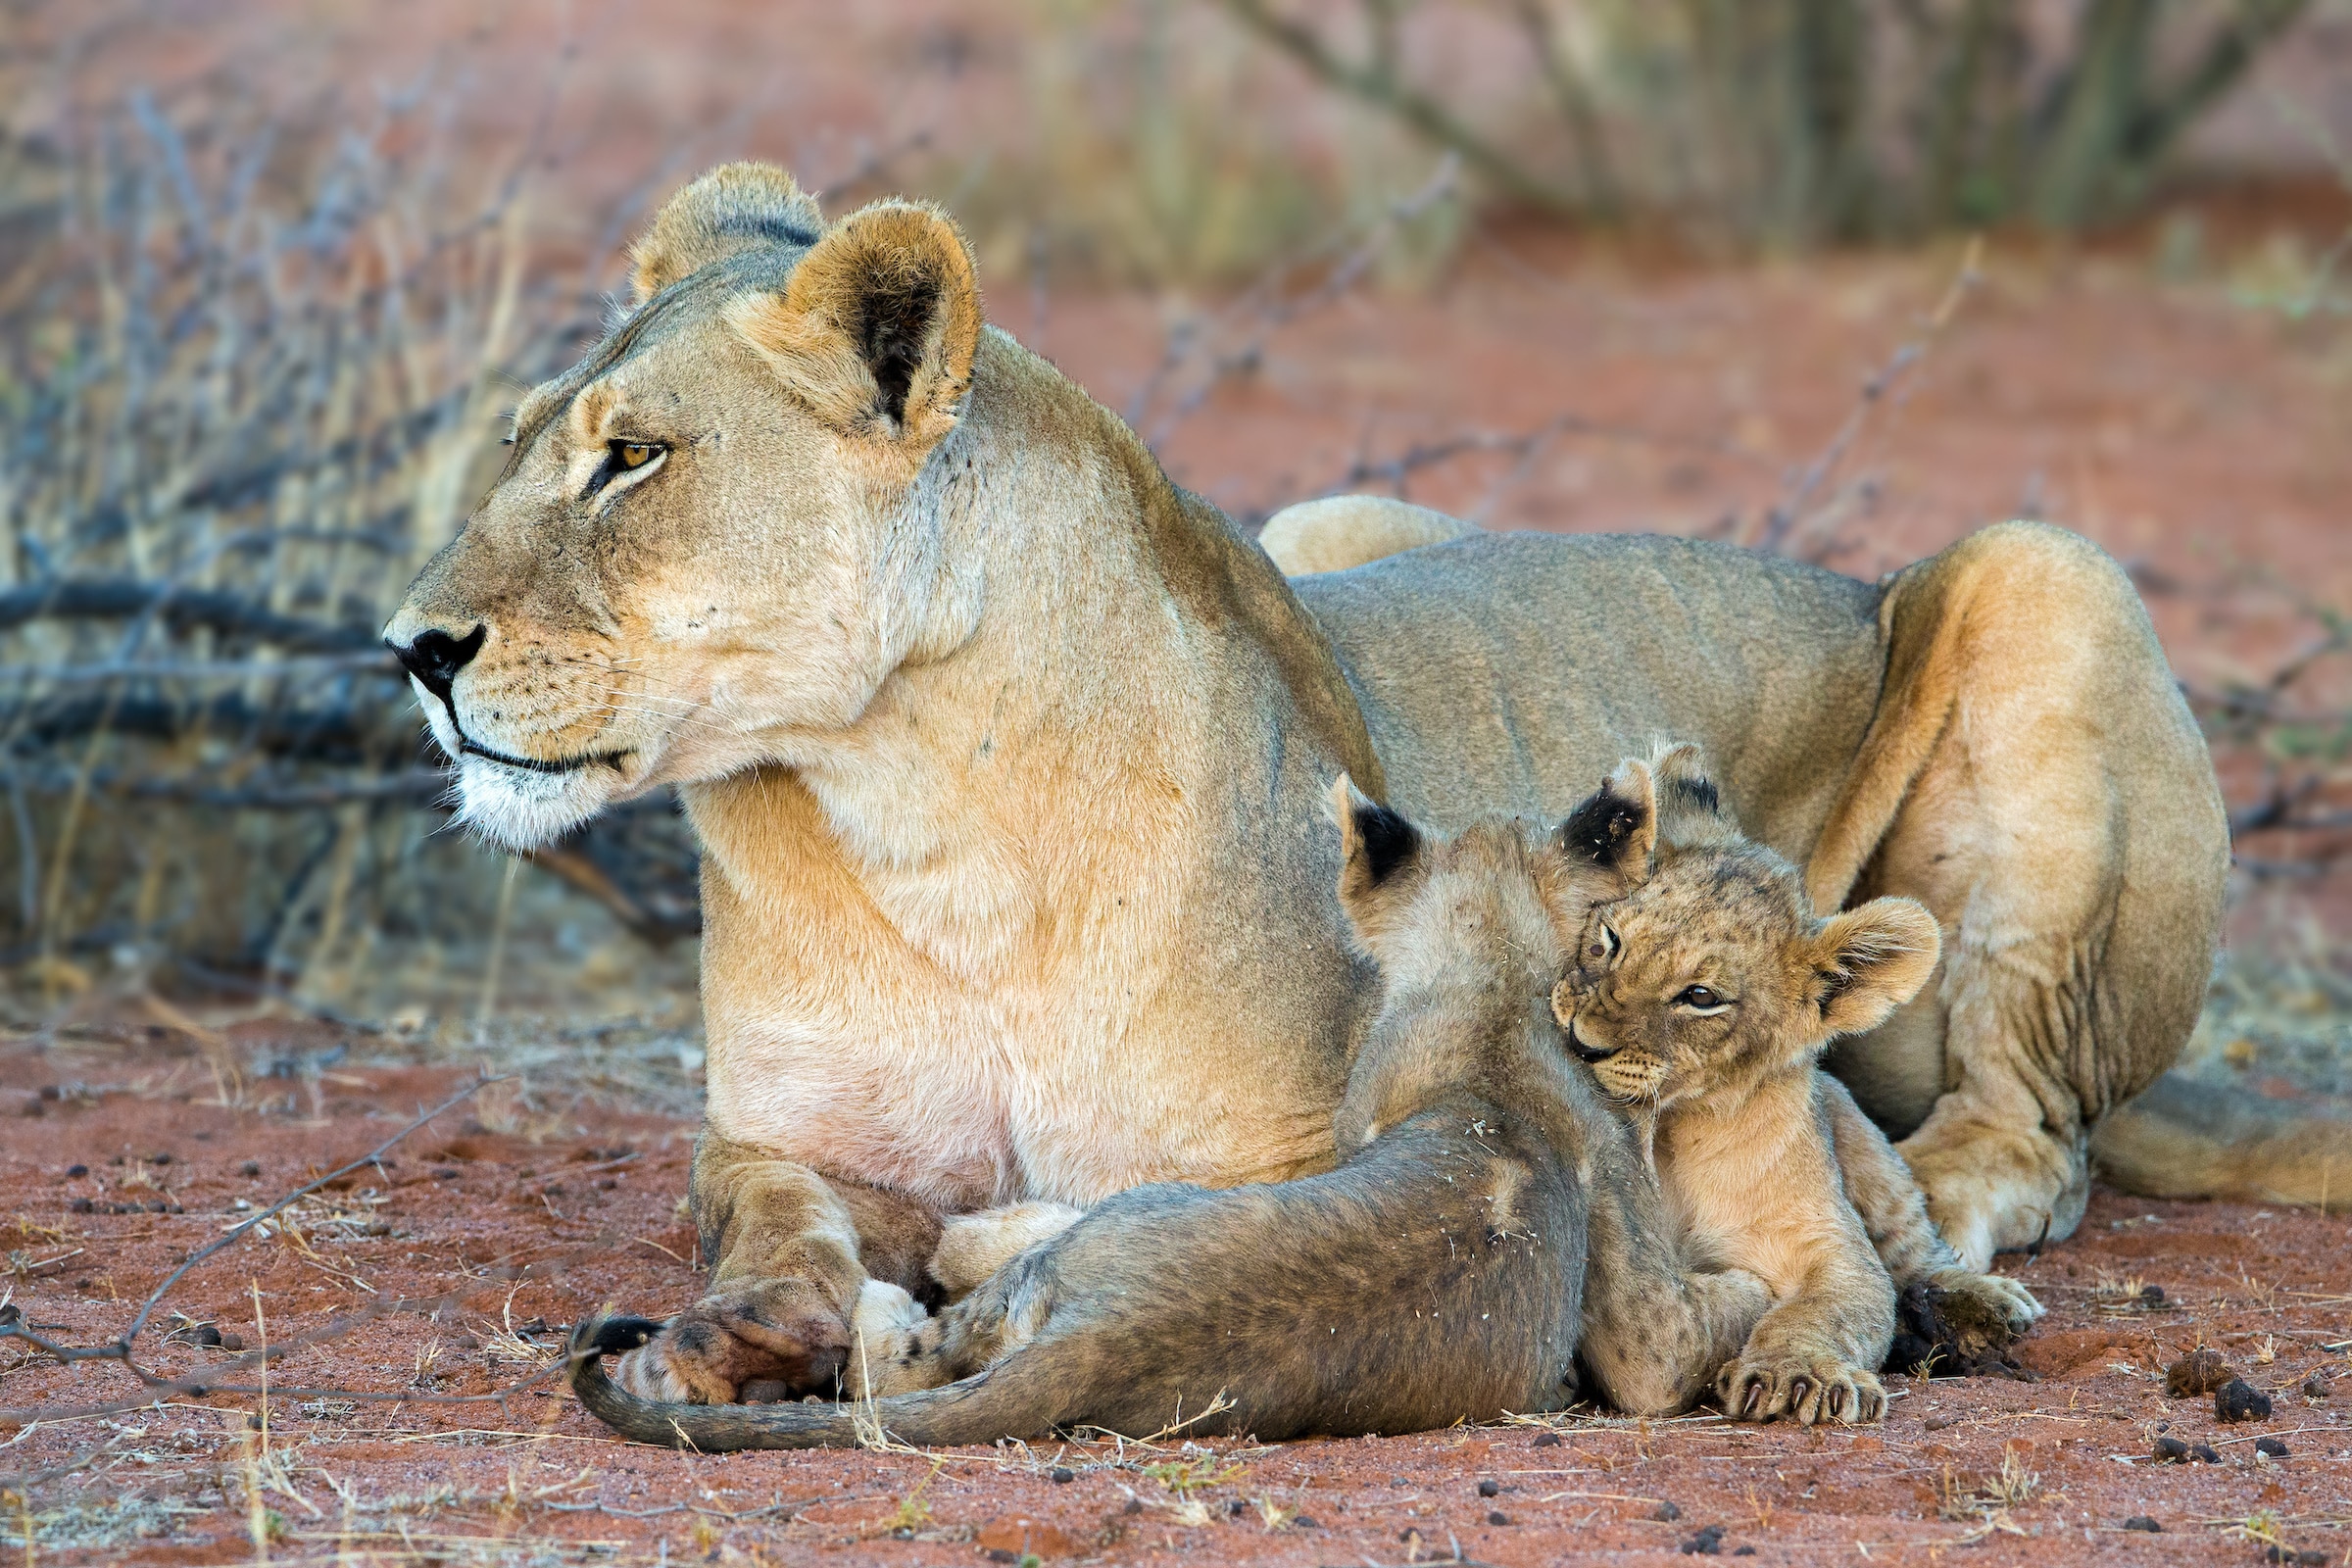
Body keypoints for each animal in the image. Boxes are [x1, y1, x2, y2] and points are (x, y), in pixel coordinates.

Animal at [566, 771, 1768, 1447]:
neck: (1487, 1011)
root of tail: (1108, 1343)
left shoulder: (1645, 1318)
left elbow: (1691, 1332)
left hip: (1111, 1226)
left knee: (901, 1342)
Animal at [1551, 746, 2042, 1425]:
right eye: (1612, 940)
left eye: (1700, 997)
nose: (1582, 1042)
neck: (1674, 1125)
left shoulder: (1825, 1240)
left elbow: (1830, 1308)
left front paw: (1795, 1375)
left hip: (1864, 1146)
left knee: (1918, 1250)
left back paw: (1984, 1307)